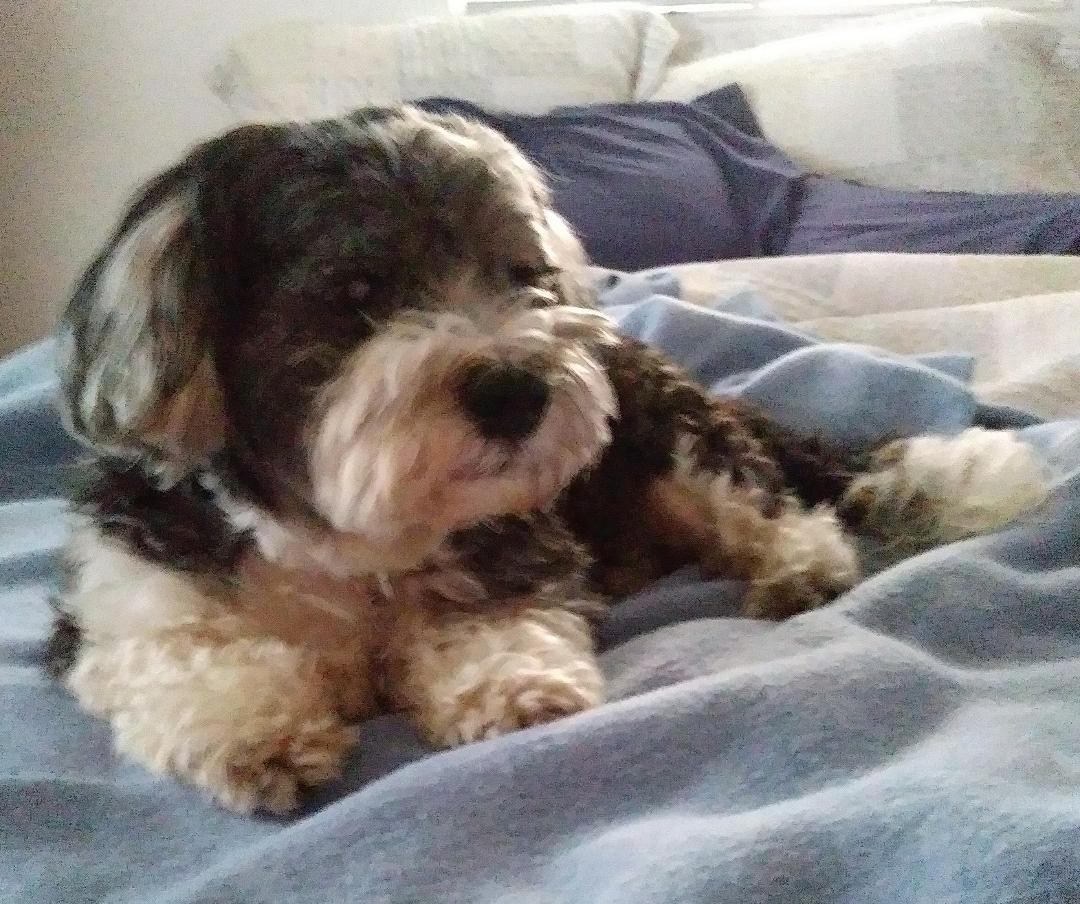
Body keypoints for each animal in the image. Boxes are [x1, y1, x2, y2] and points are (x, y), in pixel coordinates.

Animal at [45, 107, 1050, 814]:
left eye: (518, 273)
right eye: (357, 290)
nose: (515, 391)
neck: (351, 543)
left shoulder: (514, 542)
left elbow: (494, 622)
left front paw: (509, 684)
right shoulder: (123, 607)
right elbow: (187, 659)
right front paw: (255, 726)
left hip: (672, 441)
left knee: (769, 499)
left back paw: (799, 567)